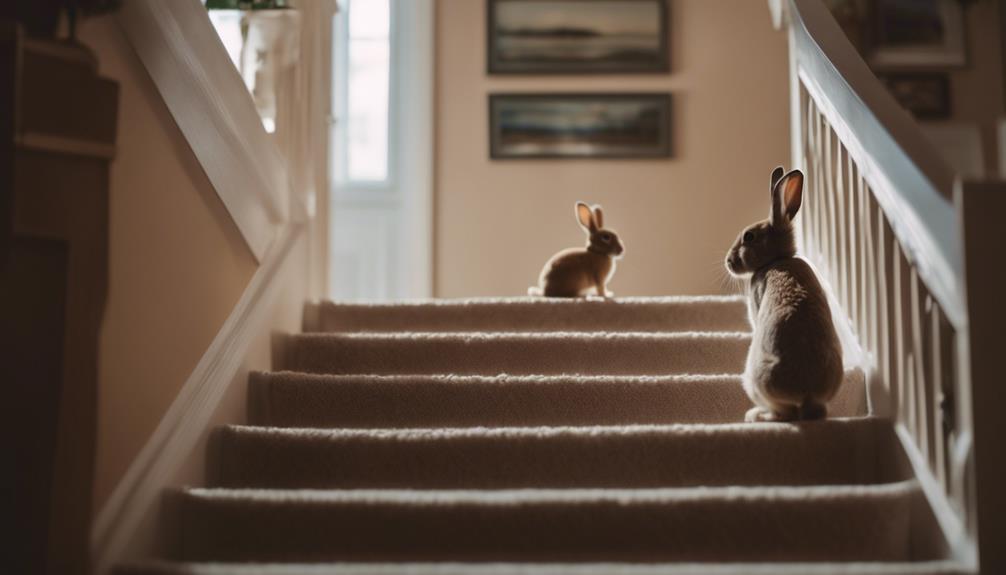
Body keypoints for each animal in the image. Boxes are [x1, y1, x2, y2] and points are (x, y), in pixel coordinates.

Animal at [724, 167, 843, 422]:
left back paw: (755, 416)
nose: (728, 261)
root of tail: (807, 394)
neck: (776, 260)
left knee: (783, 414)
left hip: (755, 380)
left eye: (749, 237)